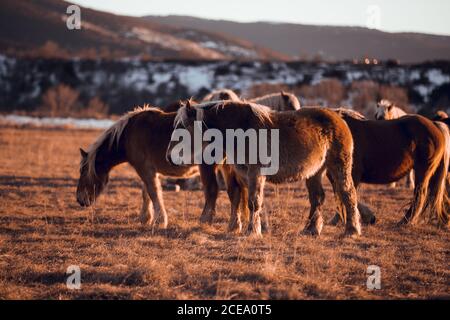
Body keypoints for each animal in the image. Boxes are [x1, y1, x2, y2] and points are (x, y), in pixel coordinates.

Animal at [76, 104, 229, 228]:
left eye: (83, 171)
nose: (80, 200)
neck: (127, 135)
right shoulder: (149, 170)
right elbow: (146, 193)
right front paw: (146, 218)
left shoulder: (145, 169)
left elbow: (153, 192)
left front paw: (159, 220)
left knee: (212, 191)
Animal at [167, 100, 364, 238]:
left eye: (183, 127)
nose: (169, 156)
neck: (241, 128)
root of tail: (338, 115)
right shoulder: (243, 174)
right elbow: (242, 199)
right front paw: (247, 227)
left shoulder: (256, 173)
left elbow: (253, 201)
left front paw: (252, 231)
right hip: (315, 172)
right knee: (317, 198)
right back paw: (311, 229)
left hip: (339, 166)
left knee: (347, 194)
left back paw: (352, 230)